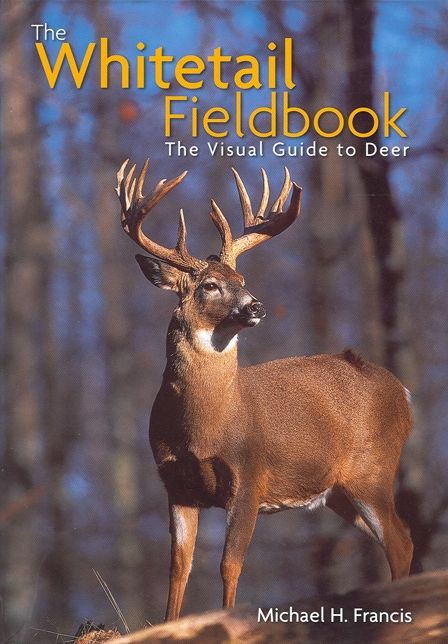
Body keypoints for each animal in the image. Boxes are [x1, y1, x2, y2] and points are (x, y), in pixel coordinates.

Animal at [116, 159, 413, 622]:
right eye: (209, 285)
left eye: (241, 277)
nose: (255, 305)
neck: (204, 428)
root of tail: (402, 392)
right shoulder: (176, 483)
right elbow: (178, 567)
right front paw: (168, 625)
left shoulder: (250, 475)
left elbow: (230, 564)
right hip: (340, 491)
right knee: (404, 539)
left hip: (374, 469)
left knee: (399, 543)